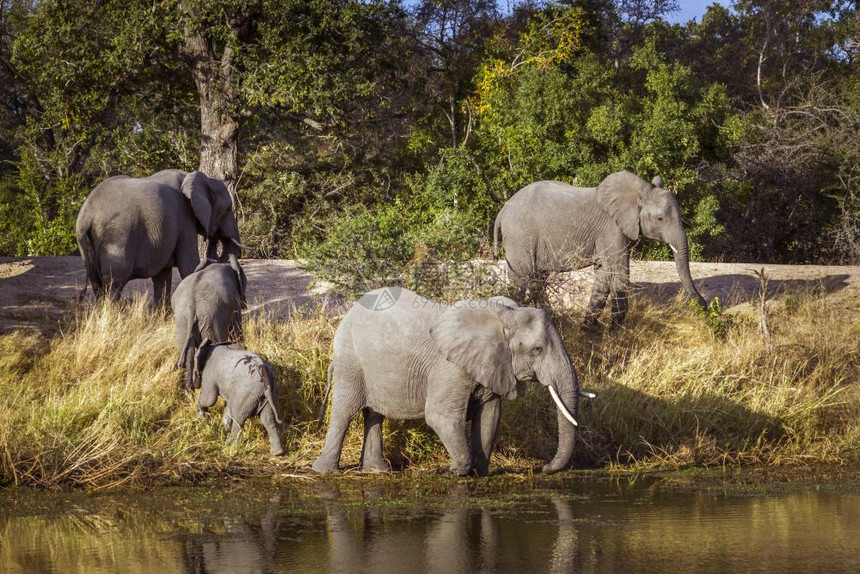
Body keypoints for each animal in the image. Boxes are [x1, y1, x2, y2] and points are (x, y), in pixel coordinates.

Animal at [75, 170, 247, 308]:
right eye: (227, 209)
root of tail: (87, 215)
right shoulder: (184, 220)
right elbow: (188, 266)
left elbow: (162, 275)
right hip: (118, 238)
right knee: (114, 283)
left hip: (87, 244)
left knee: (97, 282)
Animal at [170, 255, 245, 392]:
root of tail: (191, 306)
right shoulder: (235, 302)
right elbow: (236, 331)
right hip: (211, 317)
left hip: (183, 319)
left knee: (187, 353)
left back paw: (190, 391)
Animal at [312, 286, 596, 476]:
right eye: (537, 349)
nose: (544, 468)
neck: (502, 316)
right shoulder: (450, 367)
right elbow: (441, 416)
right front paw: (454, 473)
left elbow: (490, 417)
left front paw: (481, 473)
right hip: (350, 360)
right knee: (345, 410)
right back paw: (325, 471)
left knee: (374, 413)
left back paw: (378, 471)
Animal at [494, 170, 708, 328]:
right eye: (660, 218)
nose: (704, 306)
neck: (638, 194)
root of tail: (502, 211)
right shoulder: (612, 228)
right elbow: (619, 271)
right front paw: (617, 331)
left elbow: (604, 273)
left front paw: (589, 329)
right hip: (520, 236)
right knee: (521, 279)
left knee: (537, 279)